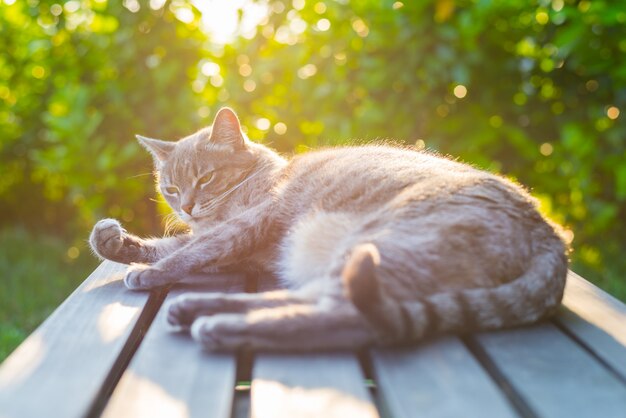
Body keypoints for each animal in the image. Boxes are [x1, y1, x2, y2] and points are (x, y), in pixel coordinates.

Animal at [90, 107, 568, 350]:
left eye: (205, 179)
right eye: (170, 189)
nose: (187, 206)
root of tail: (551, 237)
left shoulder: (250, 223)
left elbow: (190, 251)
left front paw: (148, 272)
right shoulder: (235, 245)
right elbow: (171, 246)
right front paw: (111, 239)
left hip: (378, 243)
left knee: (349, 318)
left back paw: (221, 327)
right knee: (308, 299)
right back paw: (198, 309)